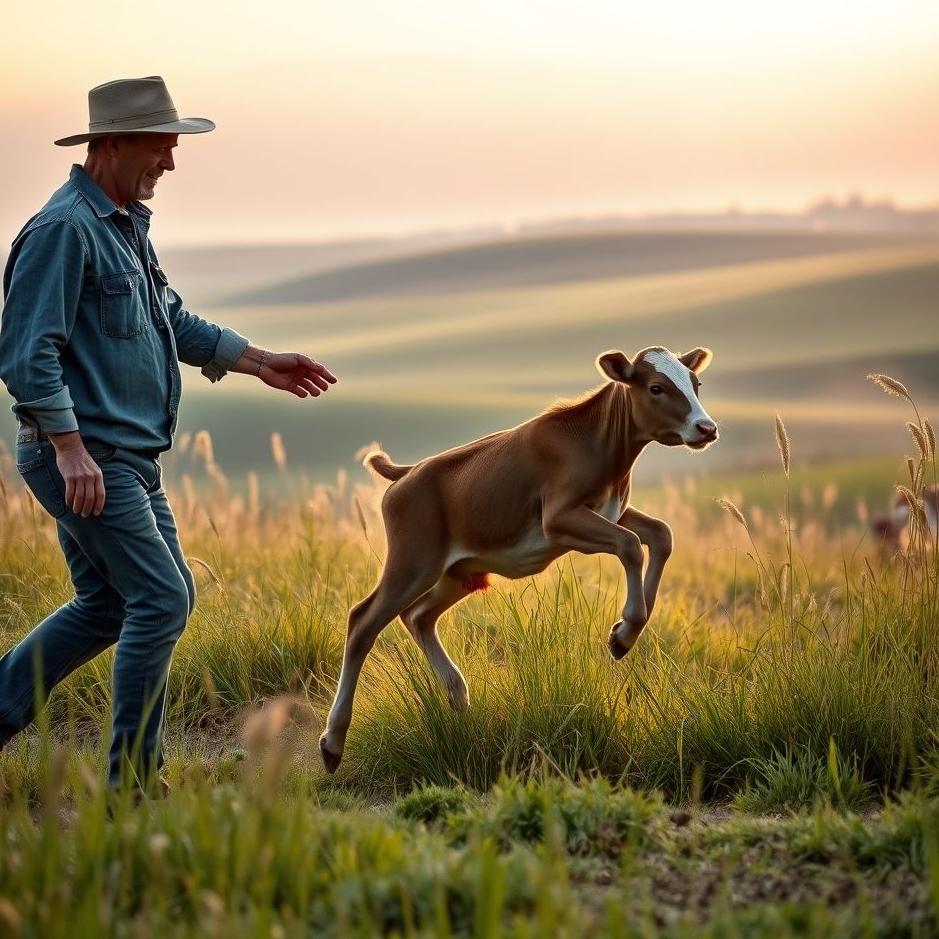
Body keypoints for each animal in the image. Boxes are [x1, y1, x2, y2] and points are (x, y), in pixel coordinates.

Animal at [320, 345, 718, 772]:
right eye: (656, 387)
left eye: (696, 383)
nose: (706, 428)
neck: (601, 447)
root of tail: (409, 473)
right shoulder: (558, 518)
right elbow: (629, 544)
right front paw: (624, 635)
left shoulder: (611, 511)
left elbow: (661, 534)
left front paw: (623, 632)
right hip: (412, 563)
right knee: (362, 622)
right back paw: (332, 743)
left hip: (460, 572)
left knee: (418, 616)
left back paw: (458, 696)